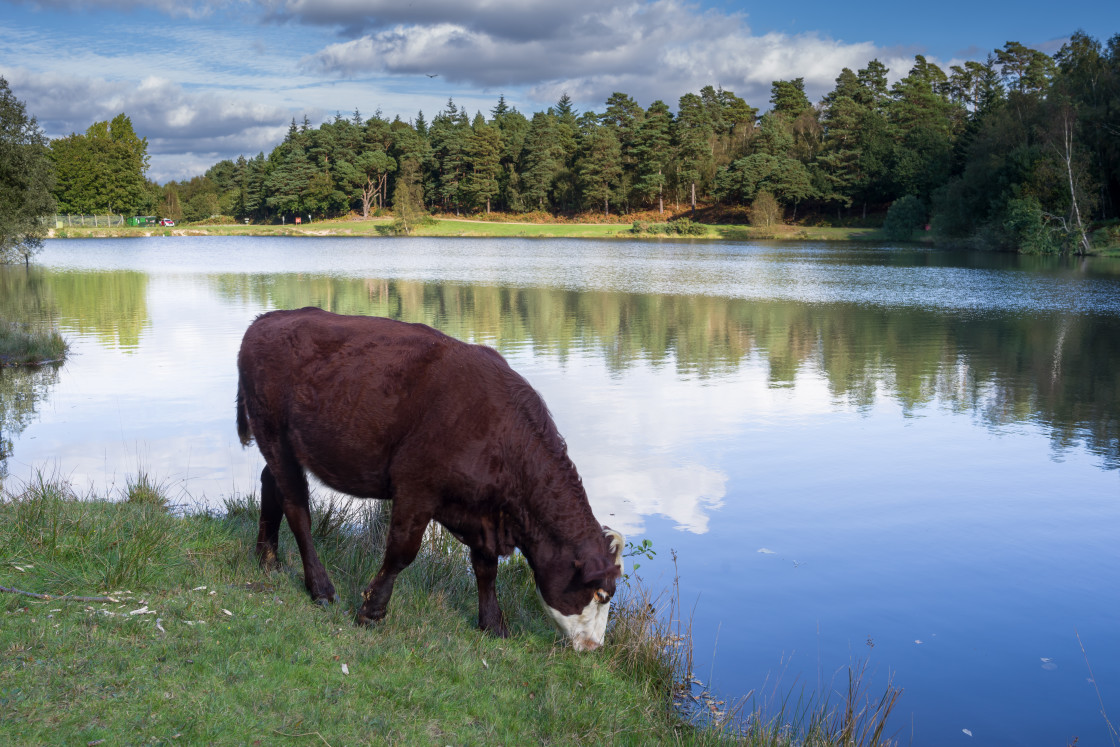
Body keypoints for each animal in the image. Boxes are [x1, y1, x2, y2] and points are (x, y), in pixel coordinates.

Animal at [236, 306, 622, 649]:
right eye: (600, 593)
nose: (595, 646)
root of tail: (267, 319)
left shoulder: (482, 511)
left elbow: (486, 568)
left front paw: (493, 624)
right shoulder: (416, 487)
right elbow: (401, 552)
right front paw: (371, 612)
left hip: (280, 444)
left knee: (271, 485)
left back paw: (267, 558)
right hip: (274, 433)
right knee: (297, 508)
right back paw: (320, 587)